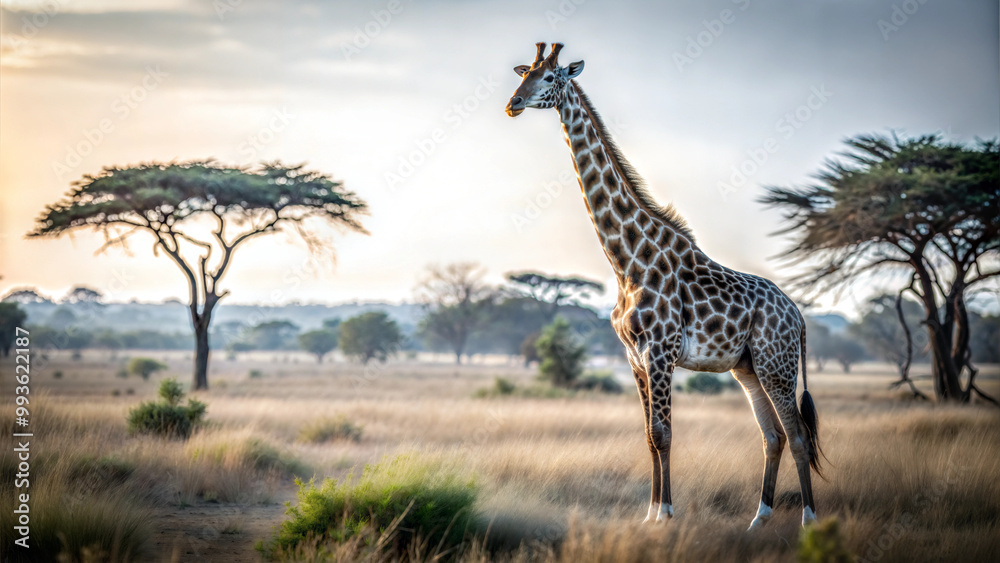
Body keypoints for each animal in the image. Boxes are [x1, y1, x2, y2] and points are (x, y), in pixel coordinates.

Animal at [505, 42, 822, 530]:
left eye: (552, 77)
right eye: (525, 74)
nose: (513, 104)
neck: (627, 263)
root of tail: (799, 316)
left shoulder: (660, 352)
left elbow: (664, 433)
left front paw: (666, 514)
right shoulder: (635, 358)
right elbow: (649, 435)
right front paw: (650, 514)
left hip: (777, 364)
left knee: (799, 434)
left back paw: (808, 520)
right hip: (748, 368)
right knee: (773, 435)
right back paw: (759, 519)